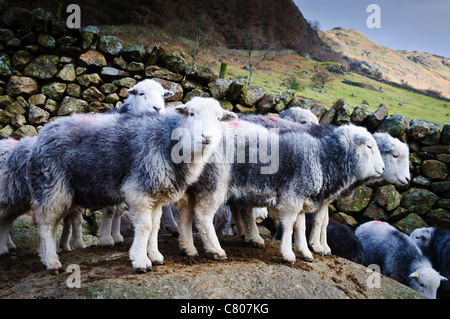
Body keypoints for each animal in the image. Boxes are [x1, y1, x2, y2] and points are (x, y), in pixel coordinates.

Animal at [27, 97, 239, 272]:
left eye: (218, 118)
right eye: (192, 114)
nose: (206, 138)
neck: (168, 139)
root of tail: (43, 132)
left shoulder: (157, 194)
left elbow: (154, 227)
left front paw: (155, 256)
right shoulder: (139, 190)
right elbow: (145, 226)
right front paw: (141, 261)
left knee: (50, 224)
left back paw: (46, 257)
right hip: (52, 185)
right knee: (46, 225)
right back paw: (52, 263)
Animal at [176, 119, 384, 264]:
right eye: (369, 147)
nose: (382, 169)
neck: (322, 159)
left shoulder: (300, 198)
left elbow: (300, 226)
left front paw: (305, 252)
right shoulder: (292, 197)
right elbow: (289, 225)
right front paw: (289, 253)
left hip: (197, 184)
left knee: (186, 212)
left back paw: (189, 247)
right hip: (216, 182)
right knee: (203, 216)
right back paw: (216, 250)